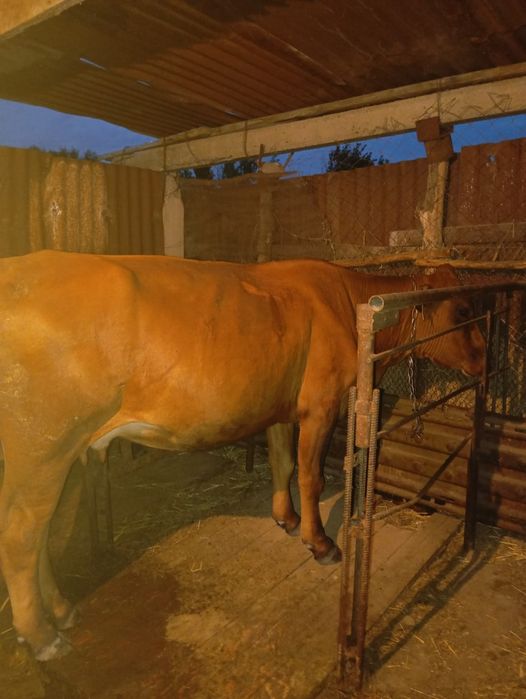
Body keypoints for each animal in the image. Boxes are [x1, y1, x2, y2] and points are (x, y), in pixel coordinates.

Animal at [0, 250, 484, 661]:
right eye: (462, 312)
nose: (484, 359)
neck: (348, 304)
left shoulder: (281, 406)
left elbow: (283, 463)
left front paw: (286, 519)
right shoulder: (321, 403)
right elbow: (311, 476)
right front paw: (320, 542)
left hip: (44, 457)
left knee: (39, 533)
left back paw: (60, 610)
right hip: (47, 449)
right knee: (23, 535)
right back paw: (42, 636)